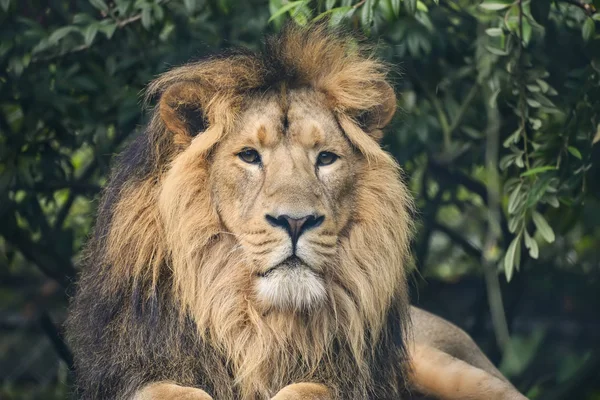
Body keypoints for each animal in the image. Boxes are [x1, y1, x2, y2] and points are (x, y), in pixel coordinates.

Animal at [64, 23, 524, 398]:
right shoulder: (140, 367)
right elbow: (174, 392)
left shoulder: (349, 377)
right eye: (249, 156)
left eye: (326, 159)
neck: (256, 324)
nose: (296, 221)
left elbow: (307, 389)